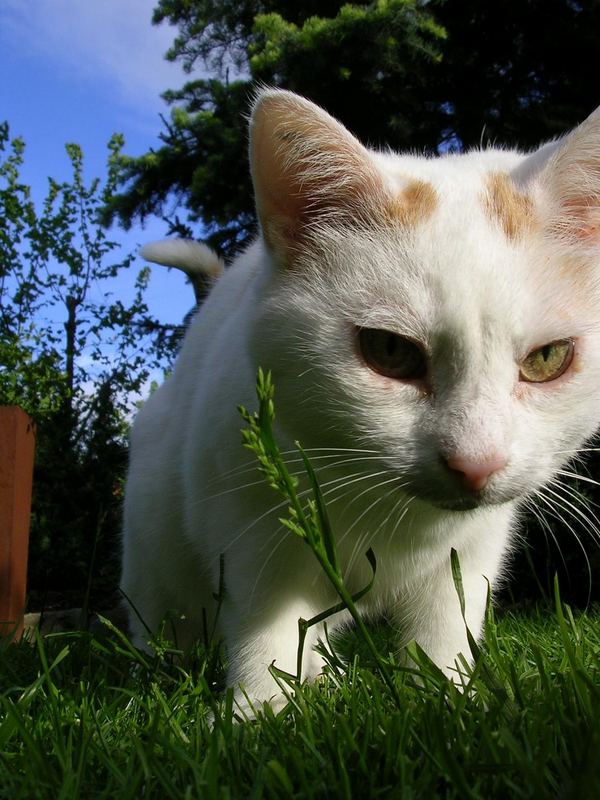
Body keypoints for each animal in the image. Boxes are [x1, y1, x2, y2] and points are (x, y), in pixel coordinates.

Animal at [122, 89, 600, 712]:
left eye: (548, 358)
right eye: (389, 351)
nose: (477, 462)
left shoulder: (472, 551)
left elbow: (447, 626)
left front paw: (450, 701)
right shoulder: (251, 527)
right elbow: (264, 628)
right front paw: (260, 713)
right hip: (153, 553)